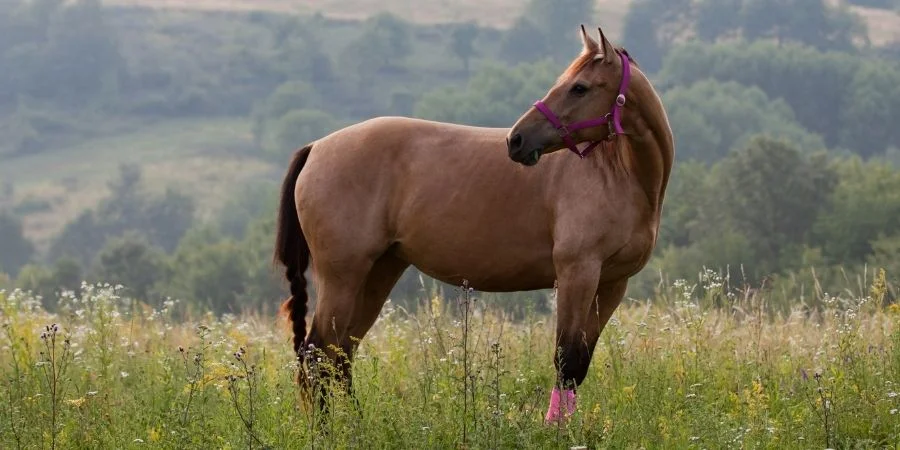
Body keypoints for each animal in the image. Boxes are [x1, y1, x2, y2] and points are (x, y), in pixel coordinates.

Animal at [274, 24, 674, 424]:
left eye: (580, 87)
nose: (516, 140)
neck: (619, 174)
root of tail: (316, 147)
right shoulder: (578, 274)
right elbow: (566, 360)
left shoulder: (612, 284)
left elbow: (579, 365)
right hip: (342, 277)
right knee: (319, 353)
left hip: (379, 272)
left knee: (340, 354)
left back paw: (355, 426)